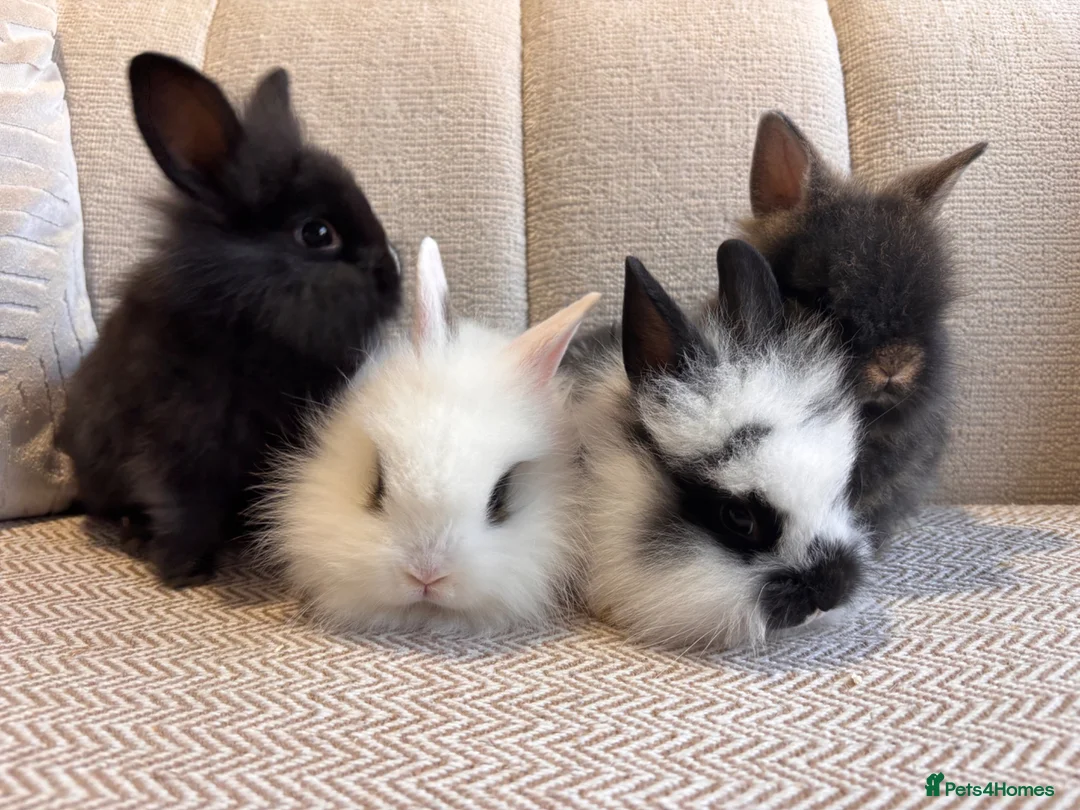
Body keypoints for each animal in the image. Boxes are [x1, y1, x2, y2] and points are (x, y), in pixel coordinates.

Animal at [56, 53, 401, 585]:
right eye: (317, 233)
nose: (393, 275)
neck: (243, 318)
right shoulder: (179, 447)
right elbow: (183, 509)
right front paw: (182, 571)